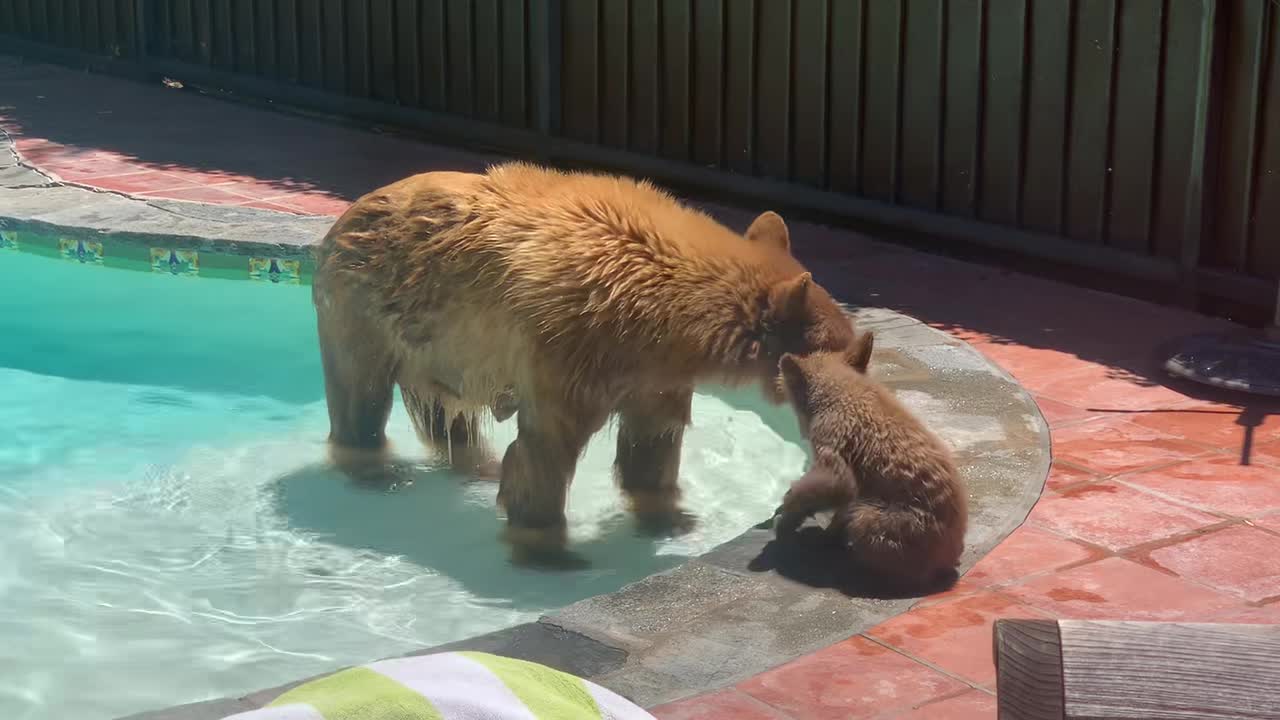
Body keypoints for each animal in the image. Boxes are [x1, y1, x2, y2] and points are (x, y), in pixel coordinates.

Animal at [316, 162, 860, 561]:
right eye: (849, 353)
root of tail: (345, 215)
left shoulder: (654, 375)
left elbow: (651, 442)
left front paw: (668, 518)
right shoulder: (567, 347)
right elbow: (544, 450)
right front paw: (547, 548)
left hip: (430, 343)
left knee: (447, 414)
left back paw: (475, 465)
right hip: (361, 311)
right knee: (360, 399)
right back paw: (374, 471)